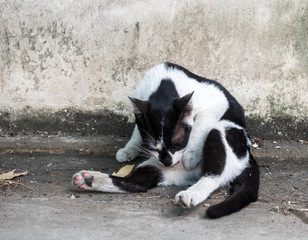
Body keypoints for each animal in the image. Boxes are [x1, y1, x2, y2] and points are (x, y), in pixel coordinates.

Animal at [73, 62, 260, 219]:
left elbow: (201, 123)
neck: (164, 84)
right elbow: (137, 130)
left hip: (224, 131)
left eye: (178, 144)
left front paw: (191, 154)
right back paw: (88, 179)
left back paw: (190, 194)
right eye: (153, 147)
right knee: (136, 183)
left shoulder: (218, 99)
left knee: (213, 175)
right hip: (160, 169)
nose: (168, 161)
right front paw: (129, 149)